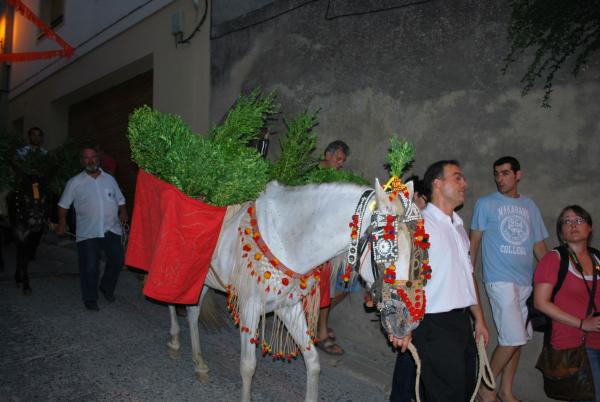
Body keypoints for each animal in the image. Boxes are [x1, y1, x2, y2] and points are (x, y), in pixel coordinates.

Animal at [164, 180, 418, 402]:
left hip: (204, 281)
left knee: (193, 313)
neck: (286, 240)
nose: (405, 319)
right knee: (170, 299)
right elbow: (248, 366)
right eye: (386, 248)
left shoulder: (289, 307)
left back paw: (199, 364)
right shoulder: (249, 308)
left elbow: (312, 361)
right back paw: (175, 342)